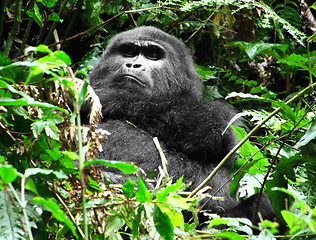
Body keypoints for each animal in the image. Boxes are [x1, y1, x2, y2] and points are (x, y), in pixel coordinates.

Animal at [89, 27, 276, 226]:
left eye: (153, 55)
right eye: (129, 52)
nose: (134, 65)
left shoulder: (228, 119)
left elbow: (216, 137)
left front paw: (108, 96)